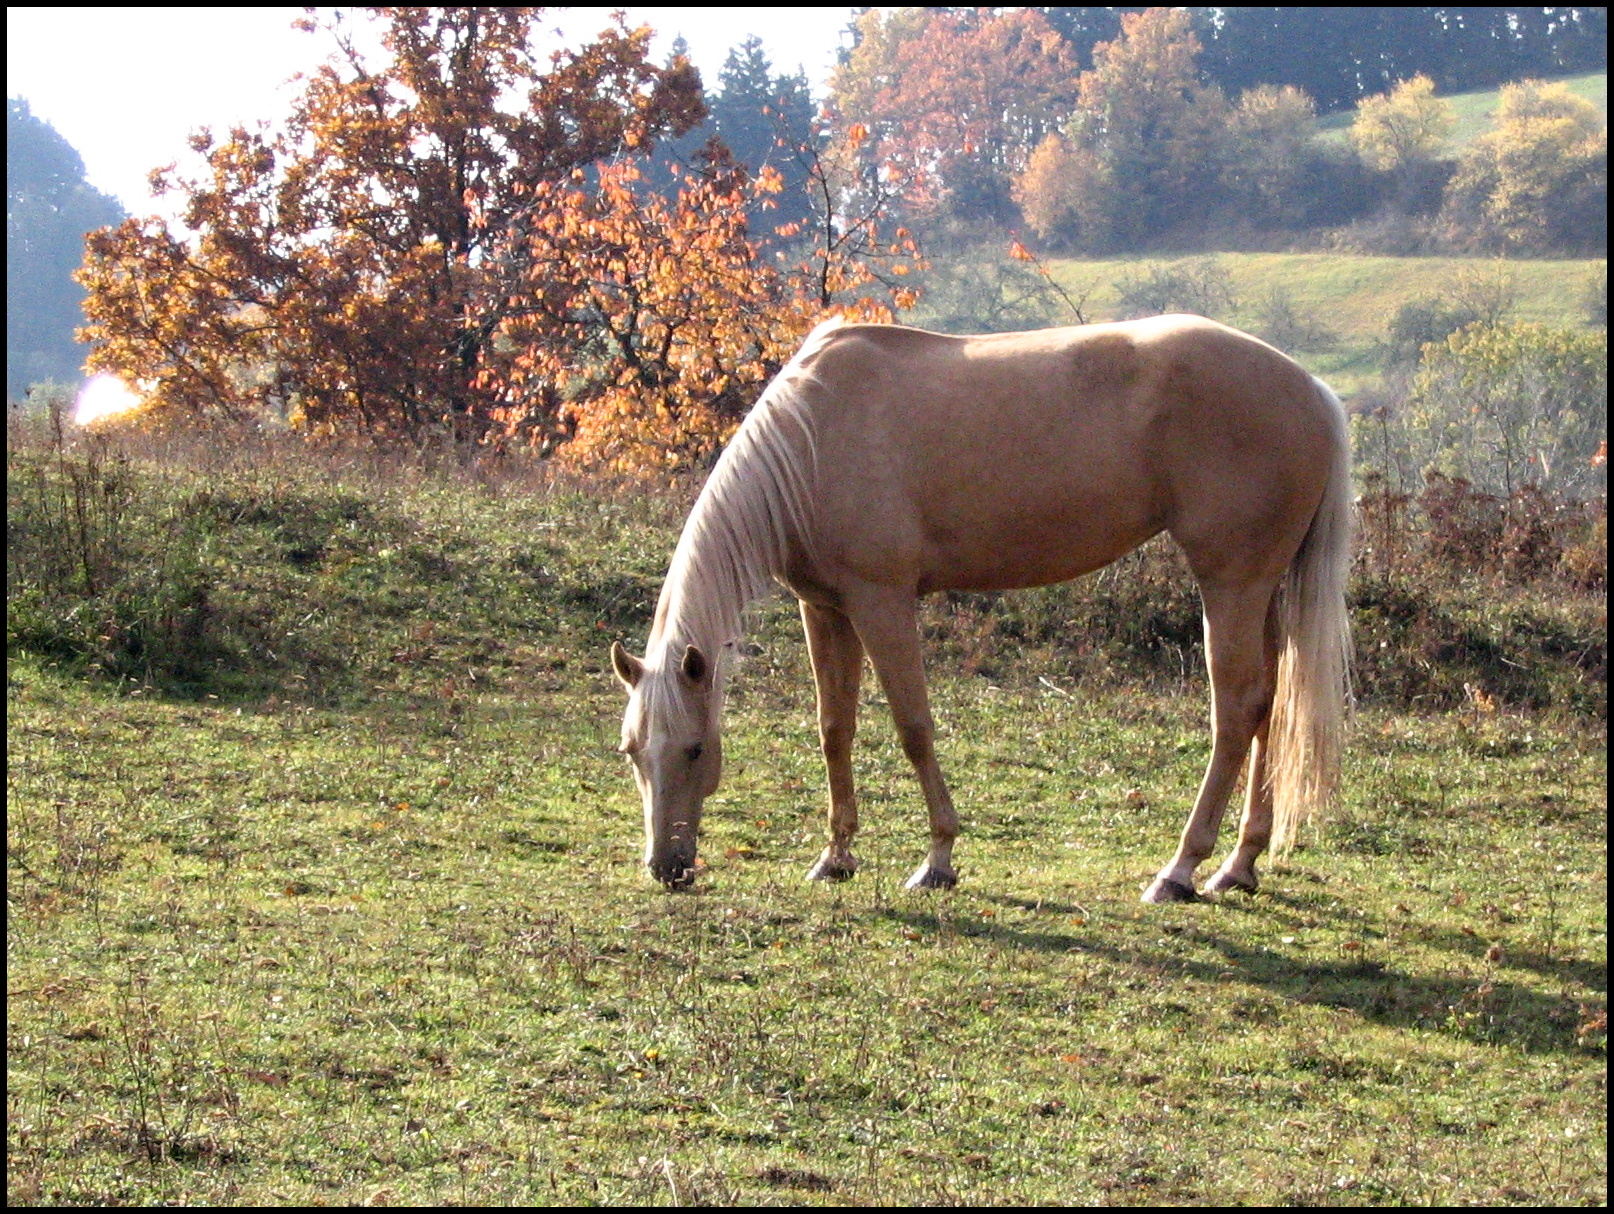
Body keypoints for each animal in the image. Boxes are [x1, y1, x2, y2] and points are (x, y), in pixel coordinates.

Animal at [610, 313, 1355, 904]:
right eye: (632, 752)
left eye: (696, 748)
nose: (666, 867)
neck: (812, 441)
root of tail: (1313, 392)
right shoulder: (824, 609)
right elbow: (834, 730)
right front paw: (835, 857)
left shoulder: (881, 603)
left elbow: (913, 727)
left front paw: (937, 859)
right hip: (1263, 592)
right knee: (1268, 706)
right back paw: (1239, 866)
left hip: (1230, 584)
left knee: (1235, 712)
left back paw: (1179, 871)